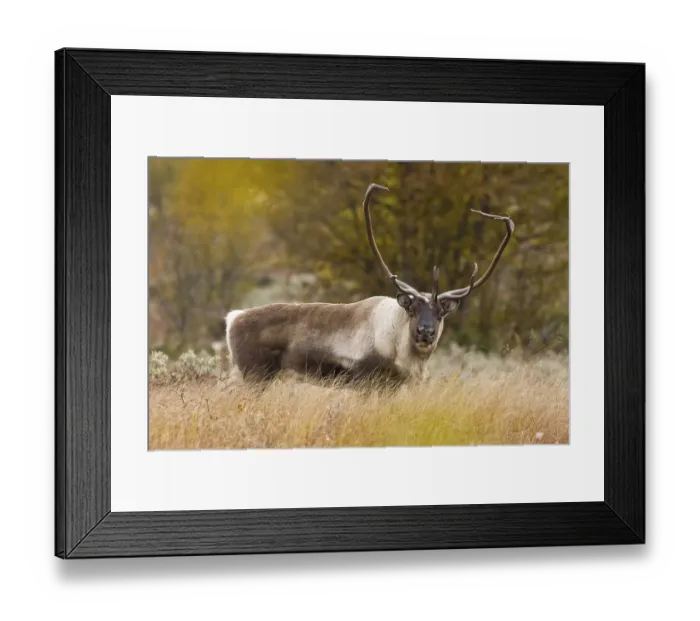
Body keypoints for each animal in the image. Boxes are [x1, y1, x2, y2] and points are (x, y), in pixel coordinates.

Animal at [225, 183, 514, 387]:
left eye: (440, 312)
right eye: (412, 309)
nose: (426, 332)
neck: (399, 346)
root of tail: (233, 318)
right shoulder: (367, 381)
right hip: (254, 375)